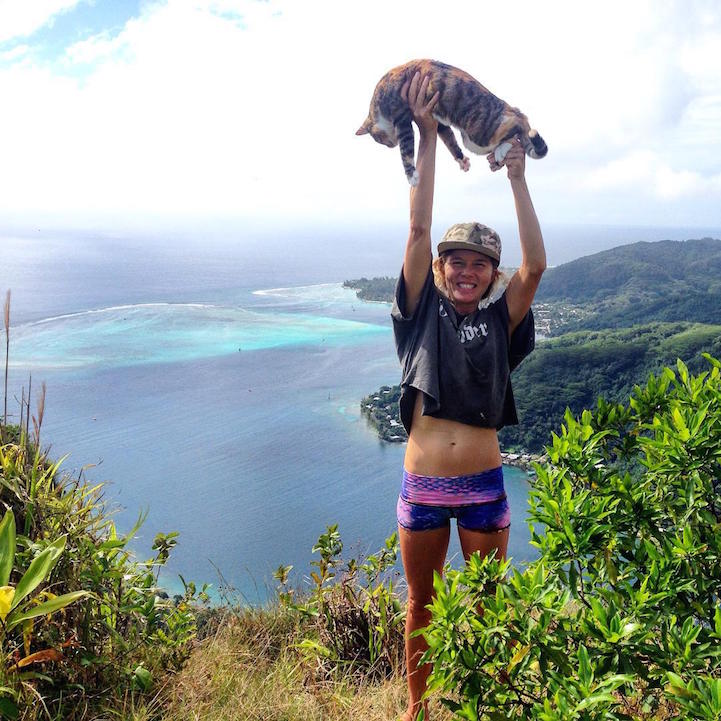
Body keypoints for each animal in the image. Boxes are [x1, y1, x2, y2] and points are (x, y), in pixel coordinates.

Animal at [354, 59, 544, 186]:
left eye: (378, 140)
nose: (390, 145)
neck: (379, 97)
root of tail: (509, 107)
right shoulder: (440, 123)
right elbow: (450, 140)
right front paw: (461, 160)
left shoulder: (402, 121)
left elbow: (406, 152)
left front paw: (411, 176)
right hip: (473, 139)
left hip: (479, 134)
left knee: (517, 124)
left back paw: (502, 149)